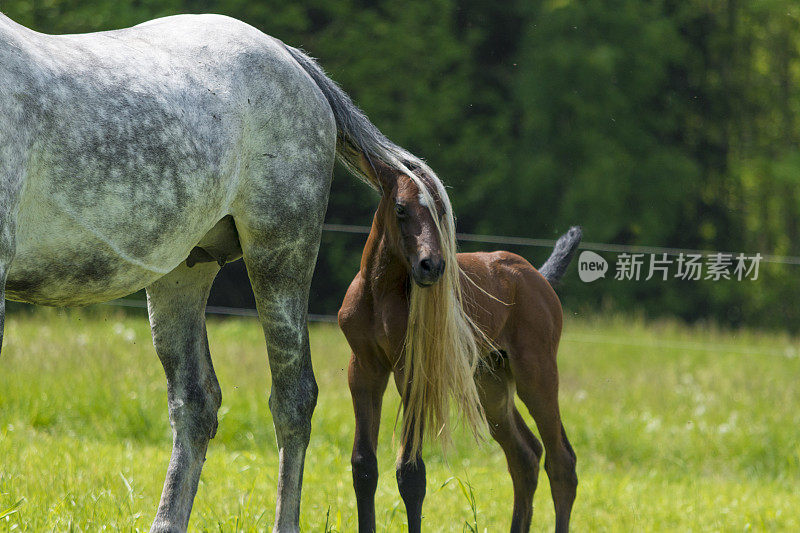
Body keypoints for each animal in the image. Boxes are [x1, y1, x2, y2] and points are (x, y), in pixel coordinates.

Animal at [340, 160, 580, 528]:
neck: (380, 294)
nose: (431, 265)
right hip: (490, 383)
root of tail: (537, 276)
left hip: (536, 373)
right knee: (525, 456)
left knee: (561, 461)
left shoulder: (413, 373)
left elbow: (411, 473)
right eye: (400, 208)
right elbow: (364, 467)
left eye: (442, 211)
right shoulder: (364, 369)